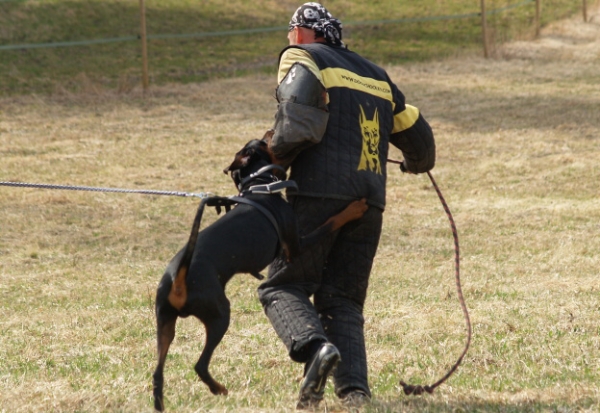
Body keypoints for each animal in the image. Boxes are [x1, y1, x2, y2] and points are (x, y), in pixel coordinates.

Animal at [151, 135, 366, 408]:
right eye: (264, 141)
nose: (271, 131)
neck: (260, 186)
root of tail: (180, 276)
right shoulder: (295, 246)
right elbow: (330, 222)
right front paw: (355, 208)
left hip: (164, 322)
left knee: (158, 374)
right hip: (219, 315)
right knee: (200, 365)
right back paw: (220, 389)